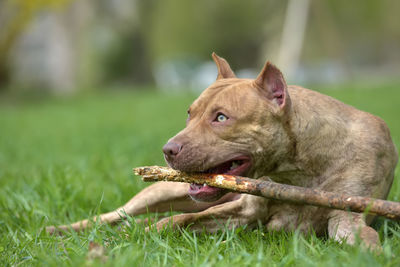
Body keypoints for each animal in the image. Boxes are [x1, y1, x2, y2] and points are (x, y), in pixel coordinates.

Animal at [48, 53, 398, 250]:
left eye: (221, 118)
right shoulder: (243, 211)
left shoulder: (347, 216)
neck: (297, 171)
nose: (168, 149)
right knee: (116, 215)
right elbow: (178, 220)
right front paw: (131, 239)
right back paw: (62, 230)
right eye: (189, 114)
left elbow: (363, 237)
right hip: (160, 192)